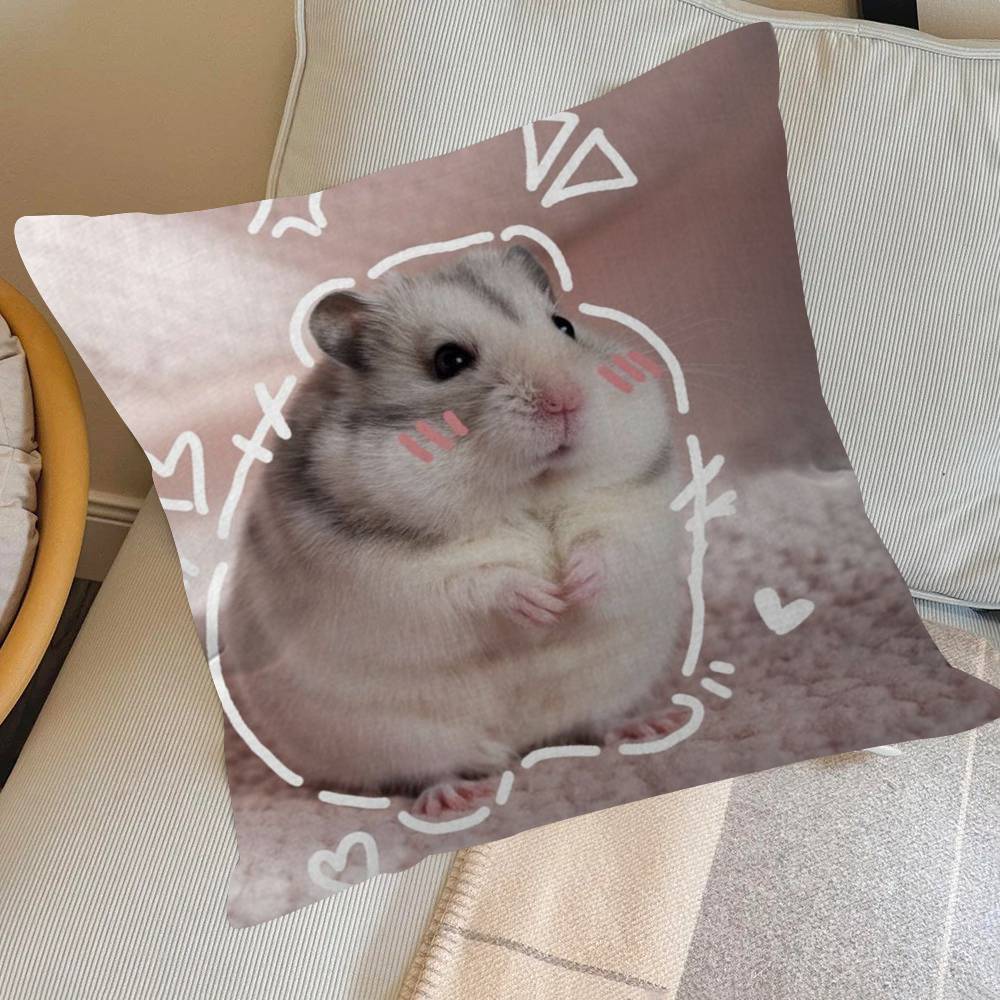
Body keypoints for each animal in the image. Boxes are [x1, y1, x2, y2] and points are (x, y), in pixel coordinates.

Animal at [222, 245, 680, 816]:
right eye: (450, 361)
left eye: (565, 325)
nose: (566, 400)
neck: (527, 495)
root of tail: (521, 743)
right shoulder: (396, 580)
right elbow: (479, 583)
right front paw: (545, 599)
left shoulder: (636, 508)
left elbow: (607, 546)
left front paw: (570, 586)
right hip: (391, 737)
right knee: (427, 771)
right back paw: (455, 798)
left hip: (611, 682)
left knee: (602, 719)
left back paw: (653, 724)